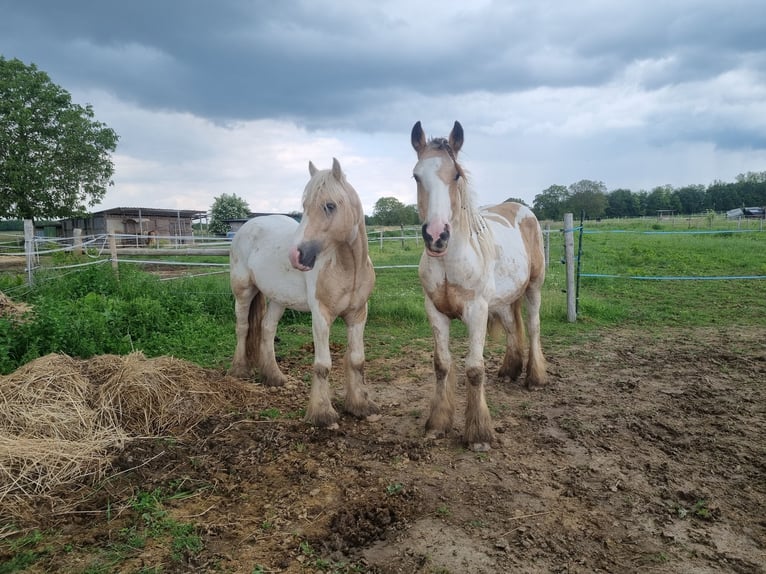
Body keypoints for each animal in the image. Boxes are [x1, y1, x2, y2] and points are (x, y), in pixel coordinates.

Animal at [231, 160, 380, 430]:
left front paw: (360, 406)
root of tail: (247, 227)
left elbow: (356, 360)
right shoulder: (321, 315)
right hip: (243, 291)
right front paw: (322, 414)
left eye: (330, 205)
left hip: (278, 299)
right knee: (243, 327)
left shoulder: (358, 314)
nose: (296, 255)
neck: (348, 267)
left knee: (267, 329)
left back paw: (274, 377)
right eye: (304, 207)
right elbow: (323, 365)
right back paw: (239, 370)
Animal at [412, 122, 548, 454]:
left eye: (456, 175)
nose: (436, 236)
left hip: (533, 287)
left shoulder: (476, 311)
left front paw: (479, 434)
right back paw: (510, 371)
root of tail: (523, 210)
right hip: (502, 300)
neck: (451, 261)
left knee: (534, 327)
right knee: (513, 328)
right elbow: (442, 365)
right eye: (416, 176)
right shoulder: (435, 311)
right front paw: (437, 423)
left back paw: (535, 378)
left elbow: (474, 369)